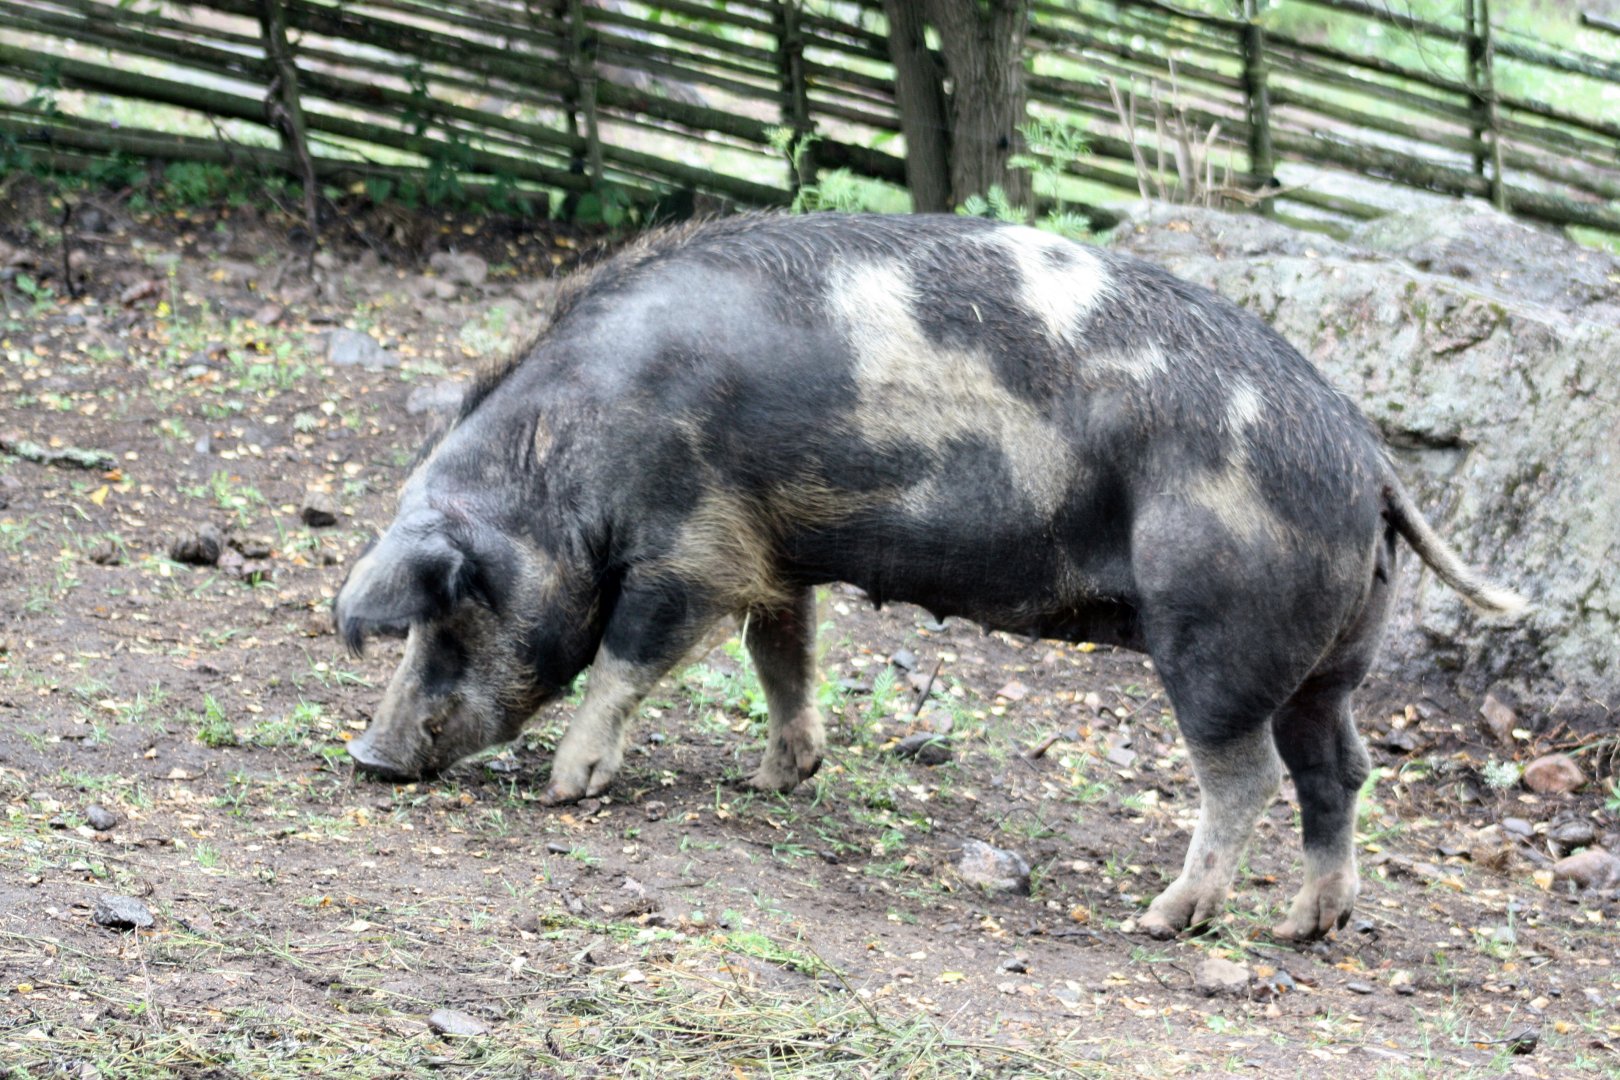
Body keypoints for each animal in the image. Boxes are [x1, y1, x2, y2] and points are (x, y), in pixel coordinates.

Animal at [335, 213, 1524, 941]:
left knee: (1250, 779)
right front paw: (776, 780)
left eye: (452, 600)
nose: (370, 757)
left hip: (1222, 640)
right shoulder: (776, 552)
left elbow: (629, 660)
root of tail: (1370, 463)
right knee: (1340, 772)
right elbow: (784, 657)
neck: (570, 453)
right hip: (1334, 664)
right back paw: (1306, 926)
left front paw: (568, 786)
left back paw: (1162, 918)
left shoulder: (694, 543)